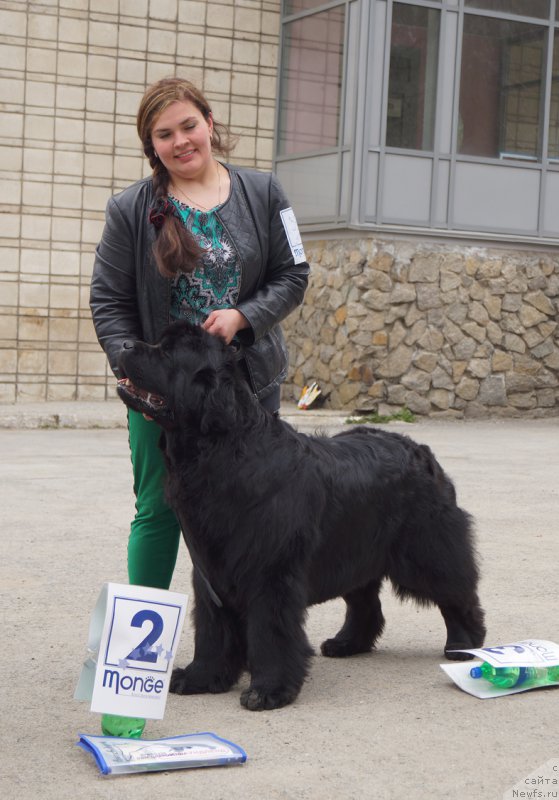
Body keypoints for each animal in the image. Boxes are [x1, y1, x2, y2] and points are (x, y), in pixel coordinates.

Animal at [117, 322, 486, 708]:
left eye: (167, 352)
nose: (124, 344)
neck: (222, 452)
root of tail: (422, 450)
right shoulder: (209, 571)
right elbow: (212, 629)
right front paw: (202, 677)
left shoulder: (270, 573)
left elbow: (270, 632)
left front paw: (268, 690)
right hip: (353, 553)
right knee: (366, 604)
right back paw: (347, 643)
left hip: (427, 549)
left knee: (457, 593)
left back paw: (464, 646)